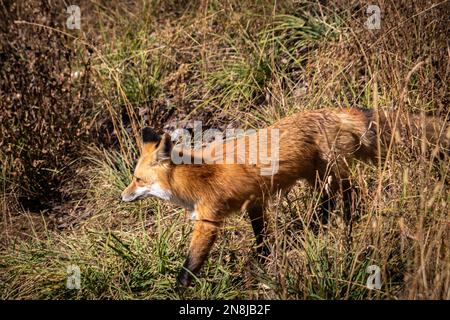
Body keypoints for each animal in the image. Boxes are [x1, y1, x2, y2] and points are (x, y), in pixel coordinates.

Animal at [121, 107, 448, 288]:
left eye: (138, 180)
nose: (122, 196)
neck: (195, 177)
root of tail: (334, 111)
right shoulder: (255, 202)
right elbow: (261, 236)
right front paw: (263, 259)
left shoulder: (208, 220)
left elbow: (191, 262)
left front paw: (180, 286)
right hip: (317, 178)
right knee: (328, 204)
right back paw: (318, 227)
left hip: (331, 174)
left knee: (350, 197)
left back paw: (346, 225)